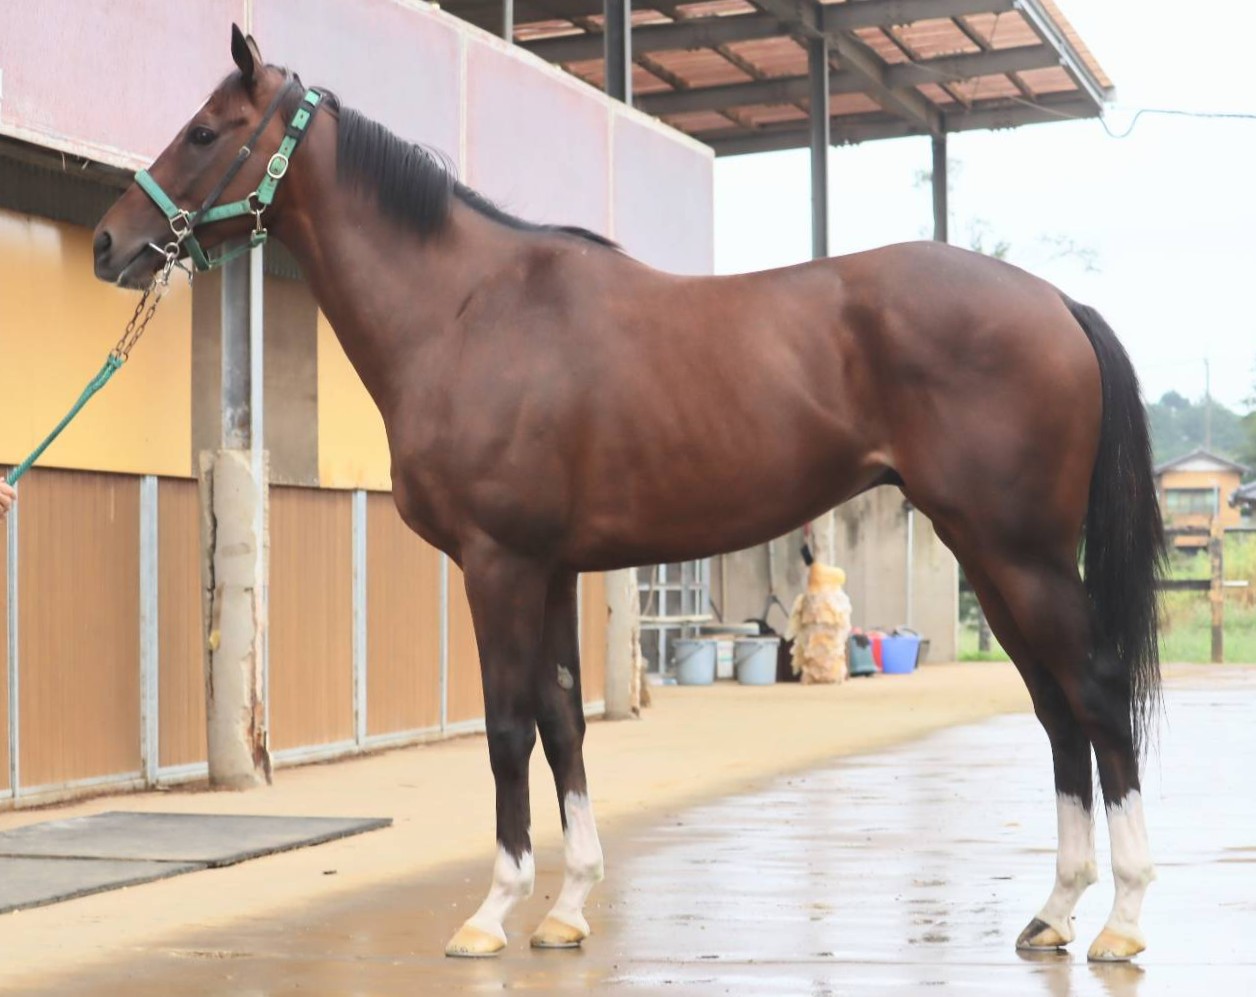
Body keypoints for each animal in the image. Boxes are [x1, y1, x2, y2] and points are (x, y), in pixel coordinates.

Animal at [92, 25, 1164, 963]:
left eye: (203, 131)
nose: (109, 242)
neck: (465, 310)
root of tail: (1055, 303)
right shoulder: (554, 568)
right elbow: (564, 720)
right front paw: (568, 908)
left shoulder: (498, 563)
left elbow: (507, 728)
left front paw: (492, 912)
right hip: (992, 554)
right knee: (1056, 708)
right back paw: (1054, 912)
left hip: (1019, 553)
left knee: (1096, 690)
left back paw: (1119, 922)